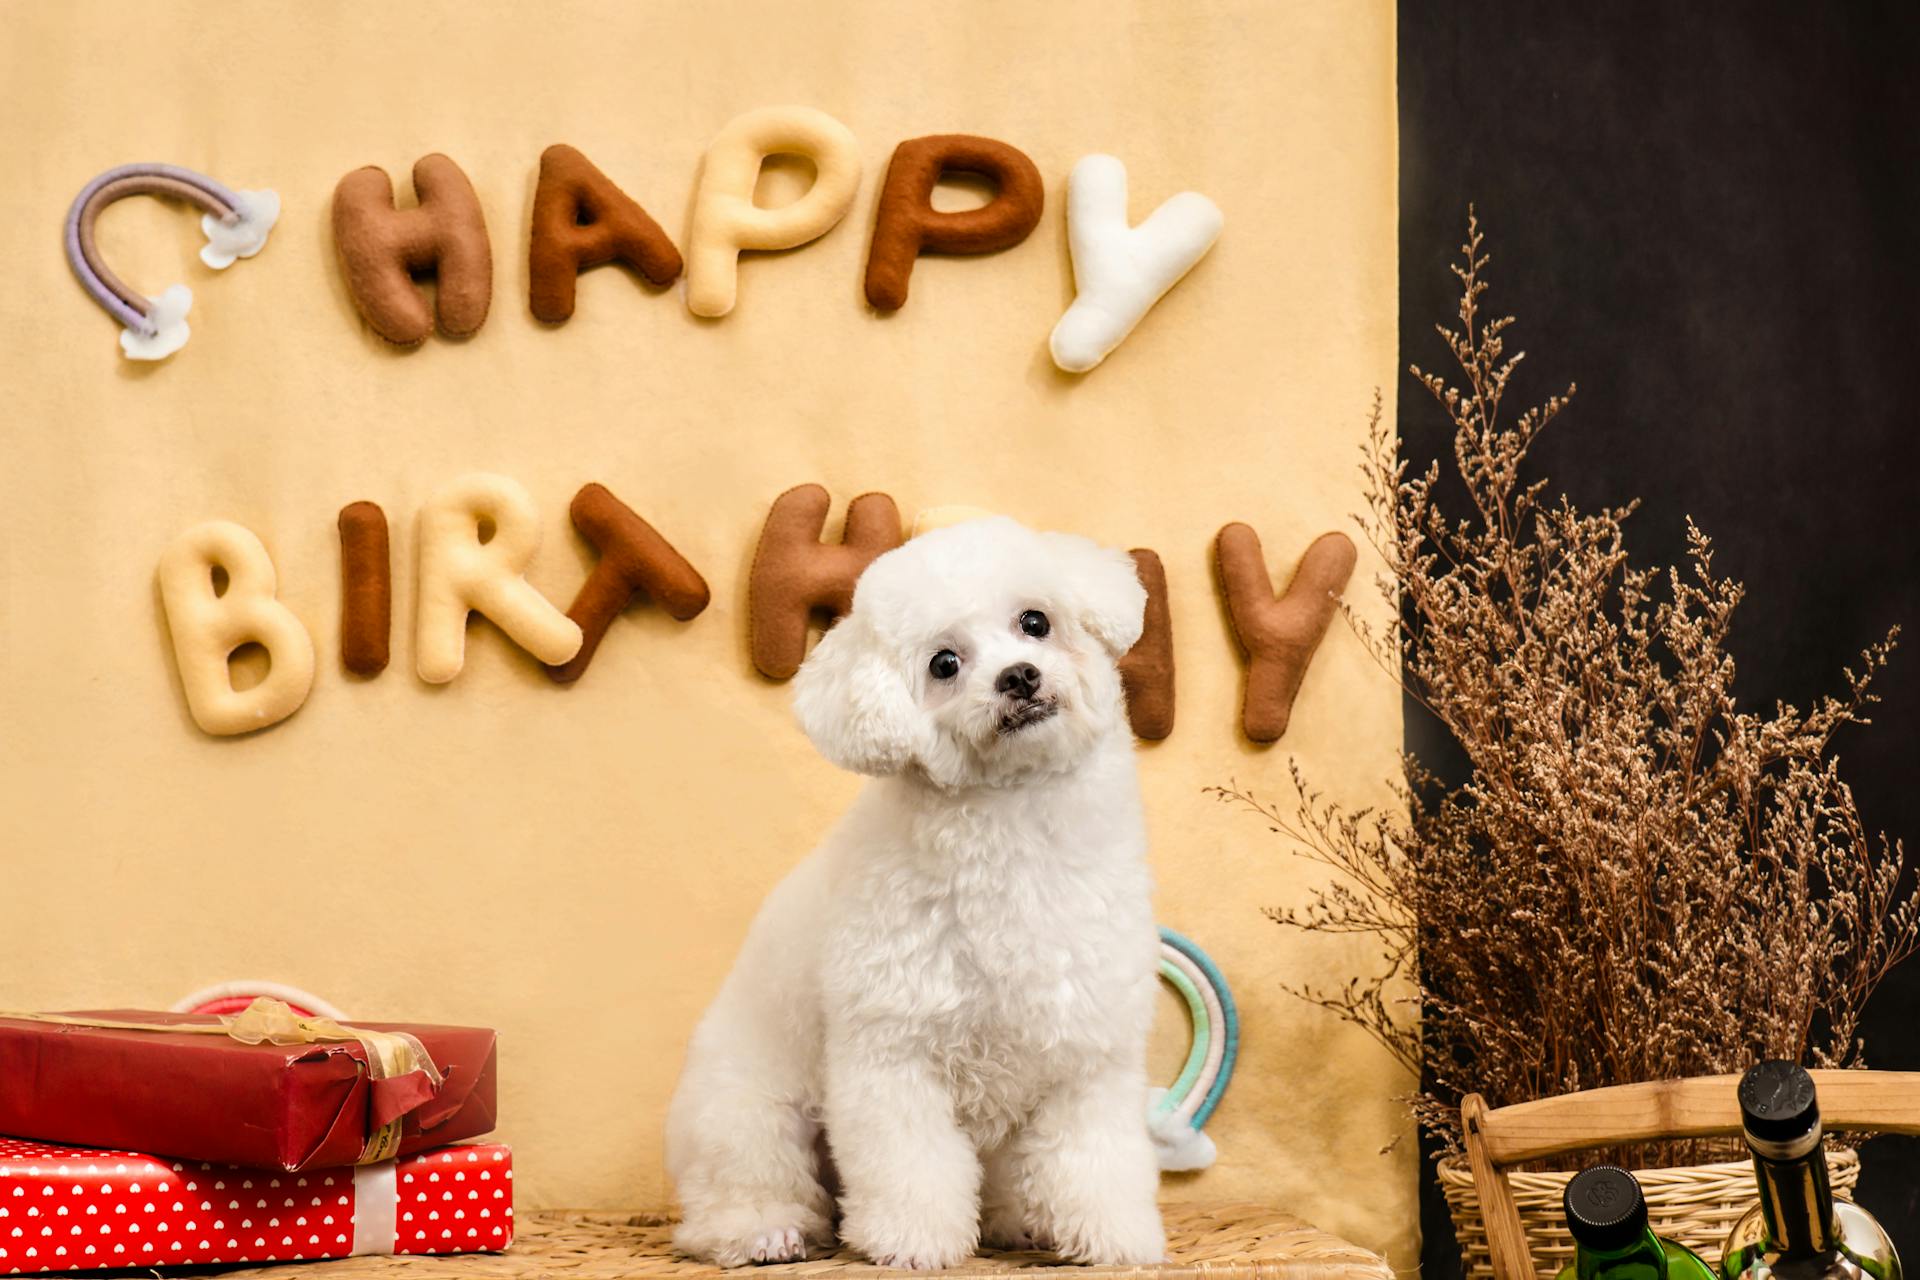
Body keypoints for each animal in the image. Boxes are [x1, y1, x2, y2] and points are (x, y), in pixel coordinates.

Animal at [668, 514, 1159, 1266]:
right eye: (944, 664)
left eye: (1035, 622)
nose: (1018, 676)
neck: (1013, 823)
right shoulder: (892, 1052)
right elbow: (911, 1163)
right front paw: (913, 1240)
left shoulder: (1088, 1050)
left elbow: (1093, 1157)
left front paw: (1113, 1235)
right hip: (746, 1116)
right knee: (729, 1201)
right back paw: (765, 1231)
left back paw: (1014, 1220)